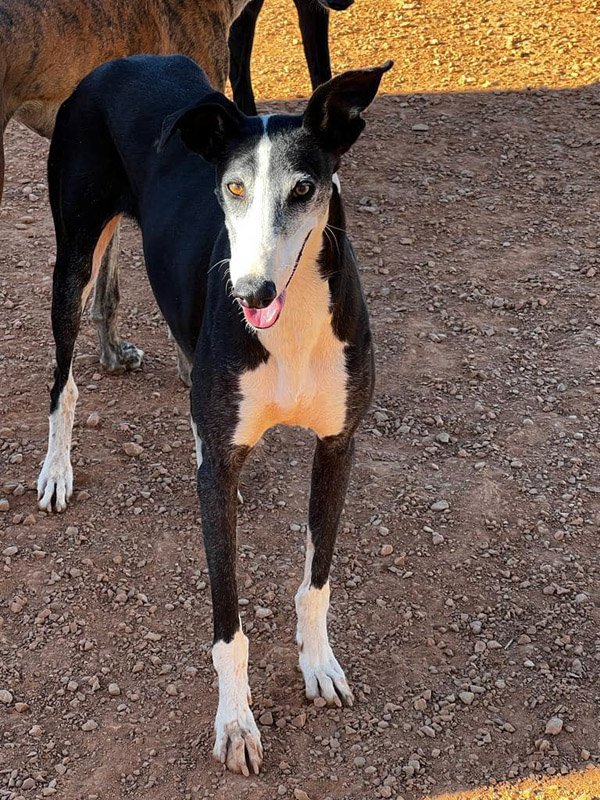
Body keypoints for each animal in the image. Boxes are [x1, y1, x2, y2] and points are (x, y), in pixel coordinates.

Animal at [36, 54, 391, 774]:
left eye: (304, 188)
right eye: (232, 187)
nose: (250, 292)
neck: (290, 325)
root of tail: (123, 61)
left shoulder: (338, 445)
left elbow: (316, 580)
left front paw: (318, 664)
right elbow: (229, 625)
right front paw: (235, 722)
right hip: (74, 256)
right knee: (64, 381)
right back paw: (56, 469)